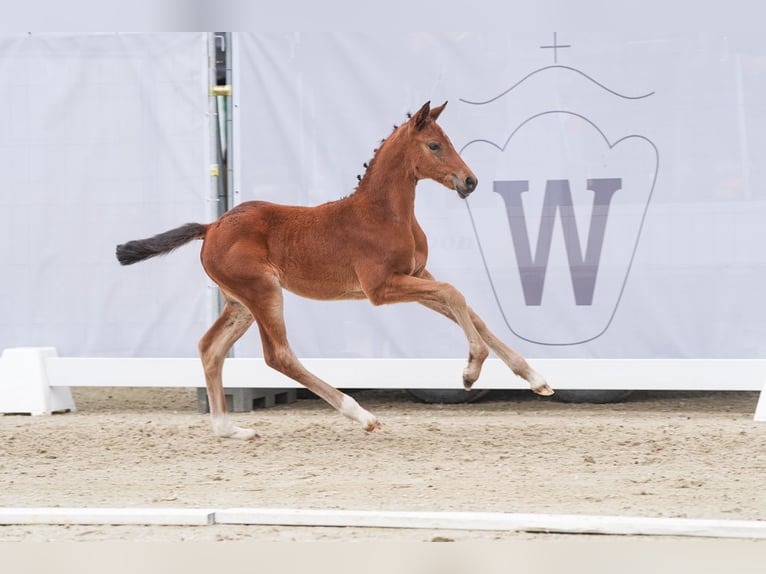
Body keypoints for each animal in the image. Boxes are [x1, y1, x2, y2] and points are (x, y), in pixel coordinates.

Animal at [117, 101, 556, 440]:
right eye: (434, 145)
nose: (470, 181)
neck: (385, 214)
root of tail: (211, 226)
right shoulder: (381, 288)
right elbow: (456, 294)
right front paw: (470, 371)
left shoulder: (418, 275)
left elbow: (470, 311)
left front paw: (535, 377)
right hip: (263, 292)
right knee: (278, 356)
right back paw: (361, 415)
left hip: (239, 303)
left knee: (210, 348)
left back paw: (231, 429)